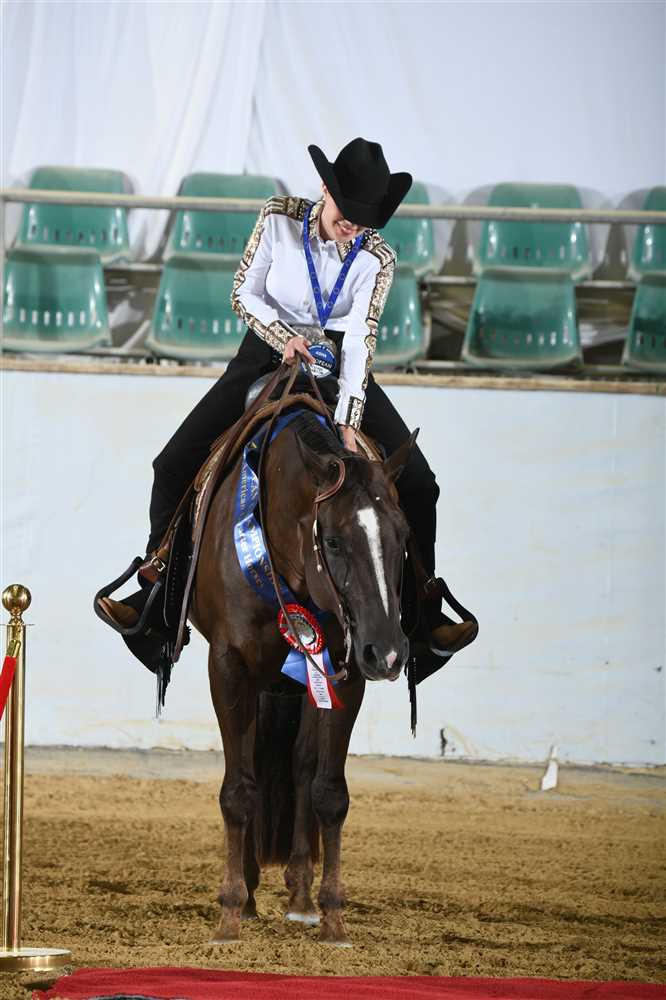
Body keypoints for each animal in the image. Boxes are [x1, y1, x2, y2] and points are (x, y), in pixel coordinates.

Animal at [190, 402, 414, 946]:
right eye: (332, 540)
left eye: (403, 537)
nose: (388, 653)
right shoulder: (228, 666)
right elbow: (238, 790)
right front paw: (230, 913)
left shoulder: (345, 672)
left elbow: (328, 791)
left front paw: (332, 916)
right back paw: (251, 895)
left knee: (301, 766)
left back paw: (301, 897)